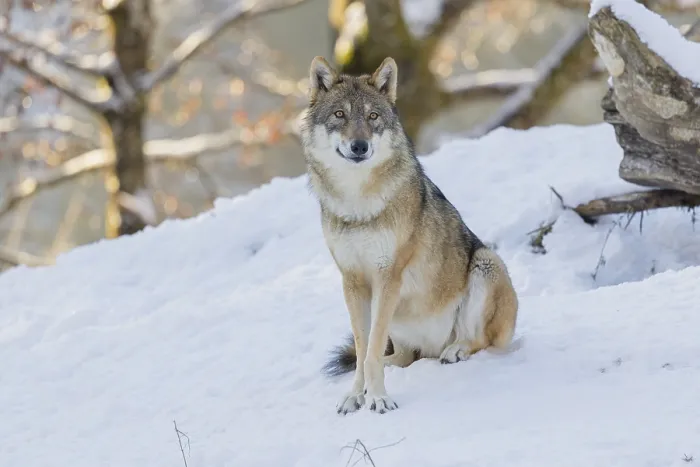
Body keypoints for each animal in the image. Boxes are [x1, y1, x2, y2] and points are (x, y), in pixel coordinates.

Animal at [299, 56, 519, 415]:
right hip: (399, 319)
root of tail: (432, 348)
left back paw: (455, 350)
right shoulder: (352, 280)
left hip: (486, 263)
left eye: (373, 116)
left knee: (480, 342)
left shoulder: (388, 275)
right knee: (401, 356)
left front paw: (377, 398)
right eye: (340, 115)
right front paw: (355, 395)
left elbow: (371, 349)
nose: (359, 146)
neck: (358, 204)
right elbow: (363, 350)